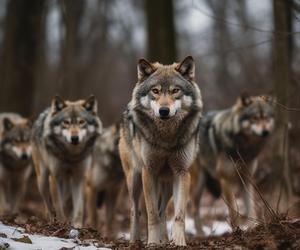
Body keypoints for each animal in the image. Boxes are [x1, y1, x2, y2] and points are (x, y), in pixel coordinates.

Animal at [31, 94, 102, 228]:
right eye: (66, 122)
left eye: (81, 122)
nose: (74, 138)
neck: (71, 155)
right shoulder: (55, 177)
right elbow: (58, 205)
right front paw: (61, 223)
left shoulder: (79, 177)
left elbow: (79, 208)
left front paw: (77, 226)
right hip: (43, 180)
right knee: (48, 203)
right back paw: (51, 220)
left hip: (67, 185)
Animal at [118, 55, 203, 245]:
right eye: (155, 91)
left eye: (175, 91)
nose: (164, 111)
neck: (166, 138)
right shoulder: (149, 172)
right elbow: (151, 214)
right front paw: (152, 243)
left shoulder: (182, 172)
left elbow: (178, 215)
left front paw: (179, 242)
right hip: (134, 179)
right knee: (136, 210)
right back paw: (134, 240)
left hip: (167, 184)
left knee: (163, 210)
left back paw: (165, 239)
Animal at [191, 94, 276, 232]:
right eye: (255, 118)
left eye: (266, 118)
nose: (265, 132)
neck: (243, 148)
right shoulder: (225, 179)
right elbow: (233, 210)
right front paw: (237, 229)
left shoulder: (247, 179)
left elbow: (249, 207)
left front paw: (254, 226)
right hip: (198, 182)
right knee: (188, 207)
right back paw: (200, 234)